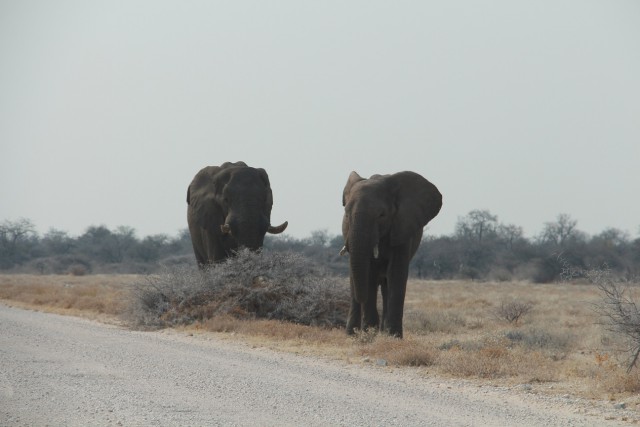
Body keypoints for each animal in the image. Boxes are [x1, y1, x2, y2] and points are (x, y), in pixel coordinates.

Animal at [340, 170, 440, 338]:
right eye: (346, 214)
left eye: (382, 215)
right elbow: (369, 274)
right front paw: (369, 334)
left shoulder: (402, 228)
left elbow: (396, 273)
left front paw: (393, 337)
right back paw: (352, 334)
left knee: (386, 285)